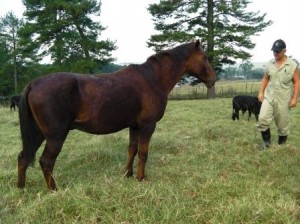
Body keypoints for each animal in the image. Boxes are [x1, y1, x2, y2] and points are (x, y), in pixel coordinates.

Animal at [17, 39, 216, 190]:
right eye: (204, 57)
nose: (213, 80)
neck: (152, 78)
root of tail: (33, 84)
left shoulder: (134, 126)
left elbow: (132, 150)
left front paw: (127, 174)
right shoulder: (148, 125)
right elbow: (143, 152)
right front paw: (141, 178)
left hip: (38, 133)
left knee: (23, 157)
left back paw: (21, 188)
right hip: (55, 135)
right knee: (46, 161)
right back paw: (54, 190)